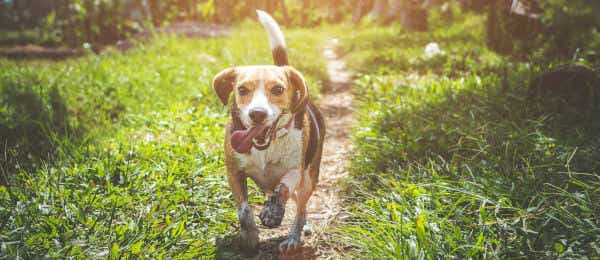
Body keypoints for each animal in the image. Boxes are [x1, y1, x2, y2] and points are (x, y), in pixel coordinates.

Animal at [211, 10, 324, 254]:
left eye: (278, 89)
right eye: (242, 89)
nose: (257, 114)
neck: (266, 147)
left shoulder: (295, 170)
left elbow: (282, 188)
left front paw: (272, 212)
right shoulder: (234, 172)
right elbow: (244, 209)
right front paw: (250, 236)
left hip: (309, 179)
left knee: (300, 209)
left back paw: (293, 237)